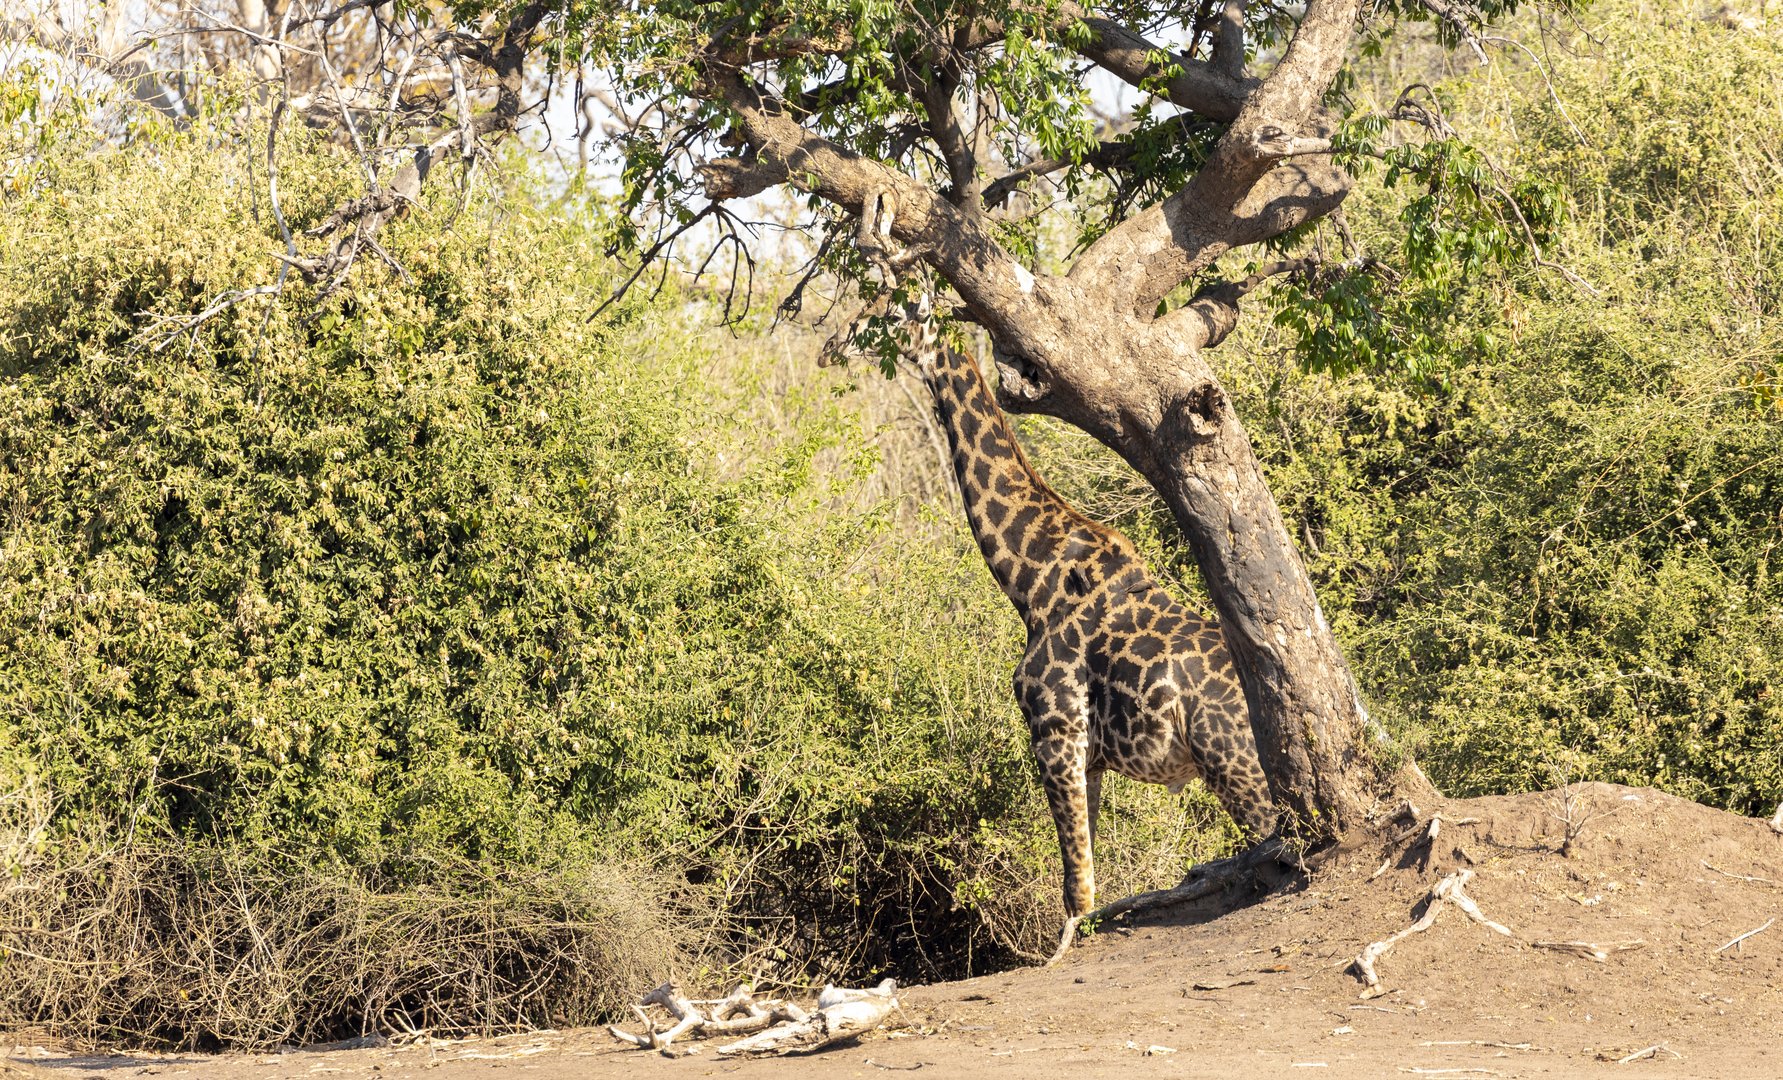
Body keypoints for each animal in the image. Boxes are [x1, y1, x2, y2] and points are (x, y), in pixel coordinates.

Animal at [905, 308, 1283, 962]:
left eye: (891, 317)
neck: (1031, 584)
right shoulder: (1088, 754)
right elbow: (1085, 862)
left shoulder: (1053, 730)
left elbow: (1074, 881)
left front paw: (1060, 955)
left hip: (1234, 764)